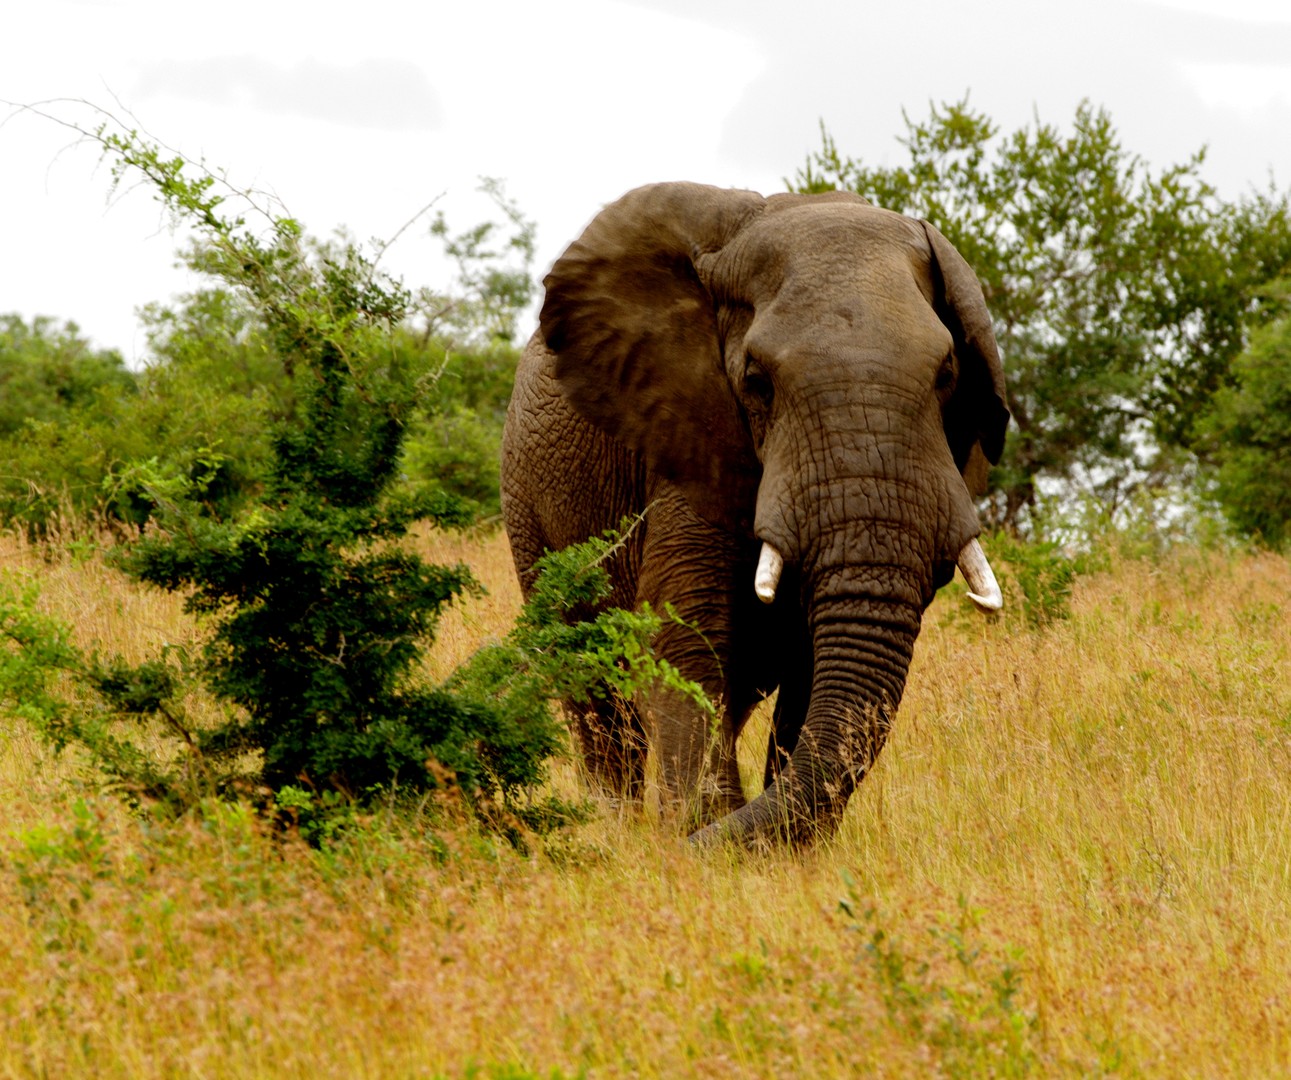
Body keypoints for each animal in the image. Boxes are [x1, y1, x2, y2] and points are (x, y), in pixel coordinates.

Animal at [500, 181, 1008, 848]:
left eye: (947, 373)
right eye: (756, 380)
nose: (680, 848)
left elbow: (814, 668)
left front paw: (781, 852)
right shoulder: (687, 441)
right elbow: (688, 637)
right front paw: (702, 835)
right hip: (529, 510)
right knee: (594, 693)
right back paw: (619, 830)